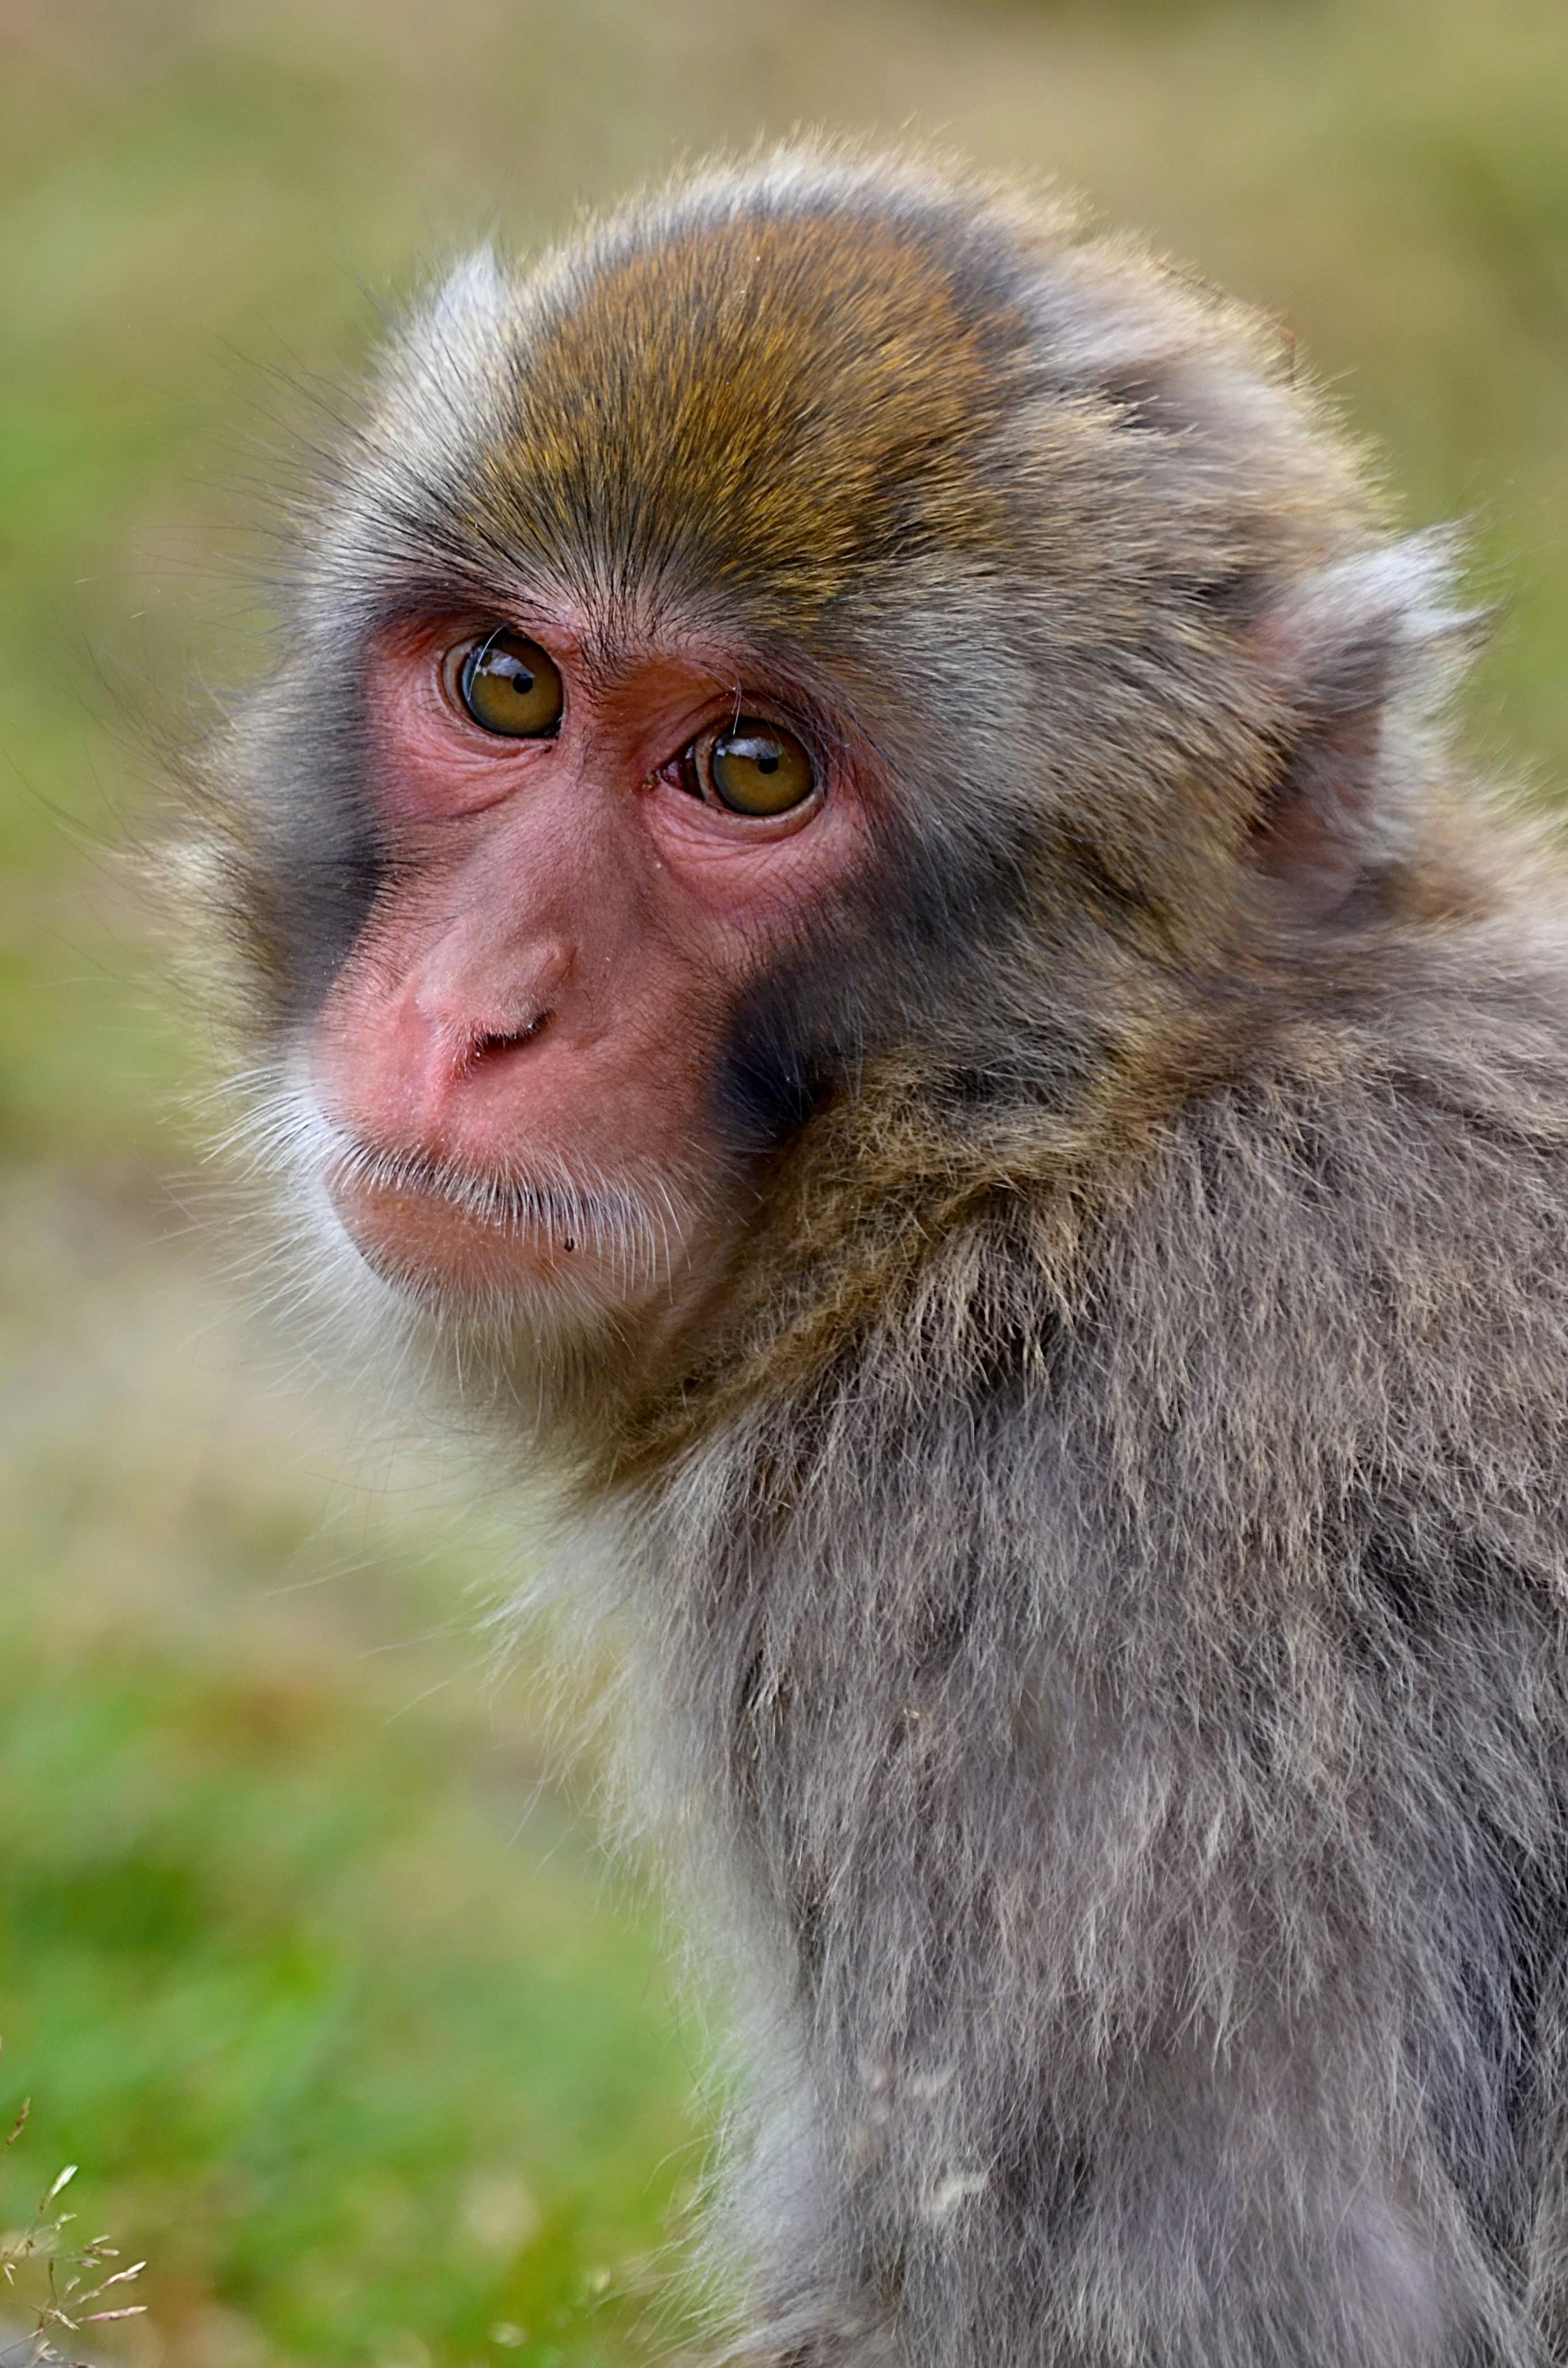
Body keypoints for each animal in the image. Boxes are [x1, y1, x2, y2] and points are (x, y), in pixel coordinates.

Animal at [185, 148, 1568, 2368]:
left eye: (751, 769)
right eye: (505, 685)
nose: (475, 1012)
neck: (1041, 1150)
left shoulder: (1045, 1571)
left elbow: (1256, 2295)